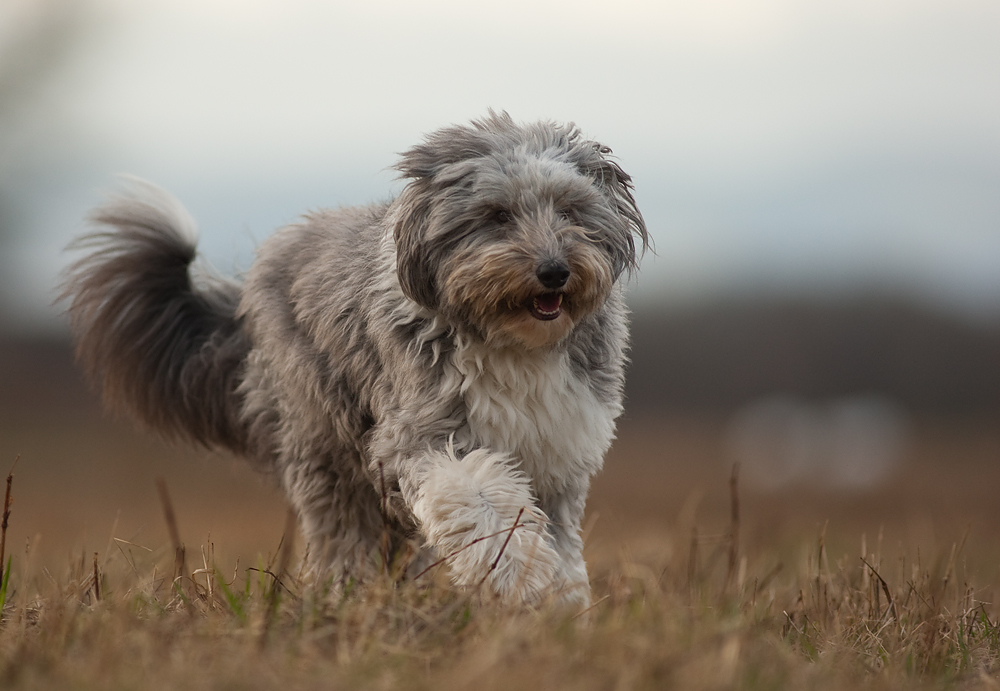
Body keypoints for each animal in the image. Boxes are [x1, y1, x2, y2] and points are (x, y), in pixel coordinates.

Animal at [60, 113, 648, 604]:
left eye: (569, 209)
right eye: (497, 215)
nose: (554, 271)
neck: (509, 339)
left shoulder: (559, 451)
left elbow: (559, 538)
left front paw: (562, 606)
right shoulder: (422, 435)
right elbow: (480, 500)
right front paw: (520, 579)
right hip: (324, 445)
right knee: (343, 534)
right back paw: (346, 600)